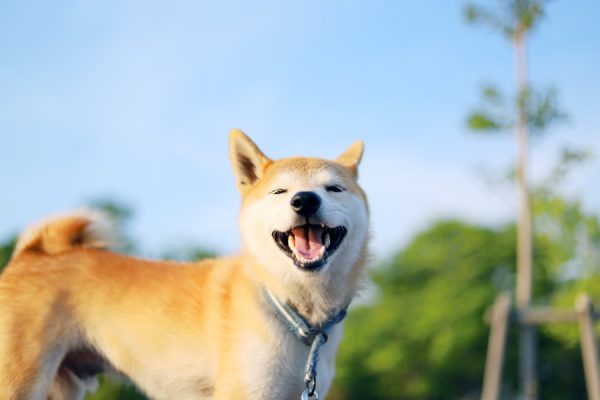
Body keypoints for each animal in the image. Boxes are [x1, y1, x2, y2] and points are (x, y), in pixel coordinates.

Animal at [0, 131, 370, 400]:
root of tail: (30, 255)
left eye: (334, 189)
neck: (292, 312)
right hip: (20, 382)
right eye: (280, 191)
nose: (304, 200)